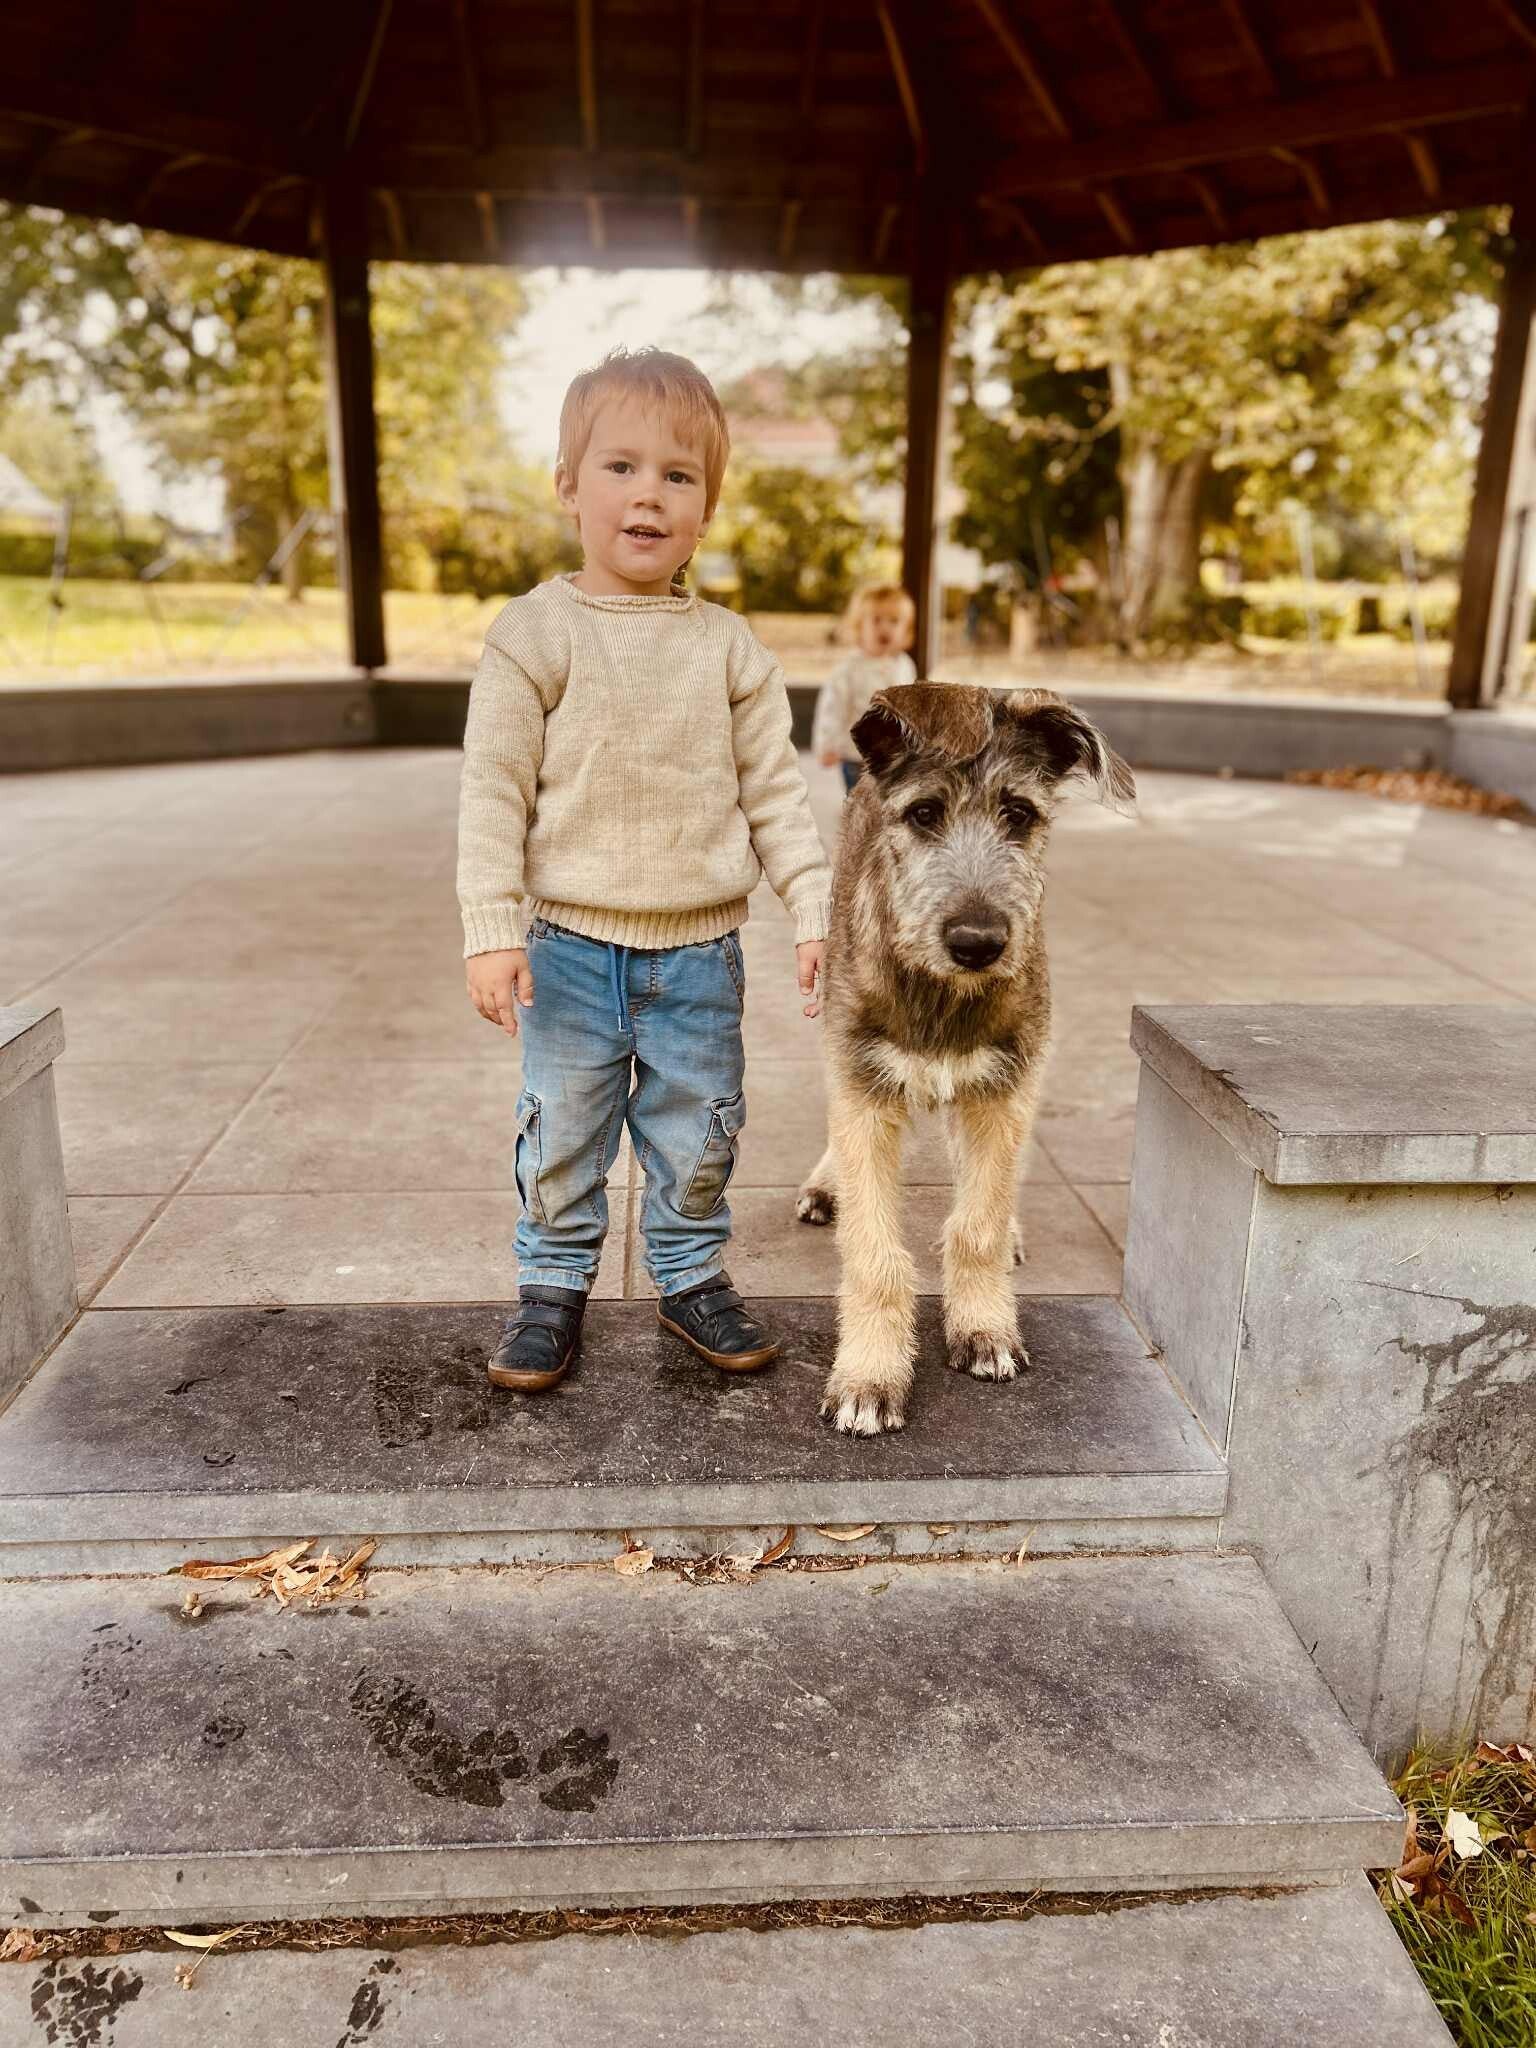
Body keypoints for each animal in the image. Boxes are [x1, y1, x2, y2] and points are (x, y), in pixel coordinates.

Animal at [796, 682, 1135, 1435]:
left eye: (1020, 813)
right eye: (925, 813)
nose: (977, 943)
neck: (940, 995)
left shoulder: (1003, 1088)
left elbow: (976, 1222)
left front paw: (983, 1327)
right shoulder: (863, 1082)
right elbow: (873, 1251)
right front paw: (869, 1374)